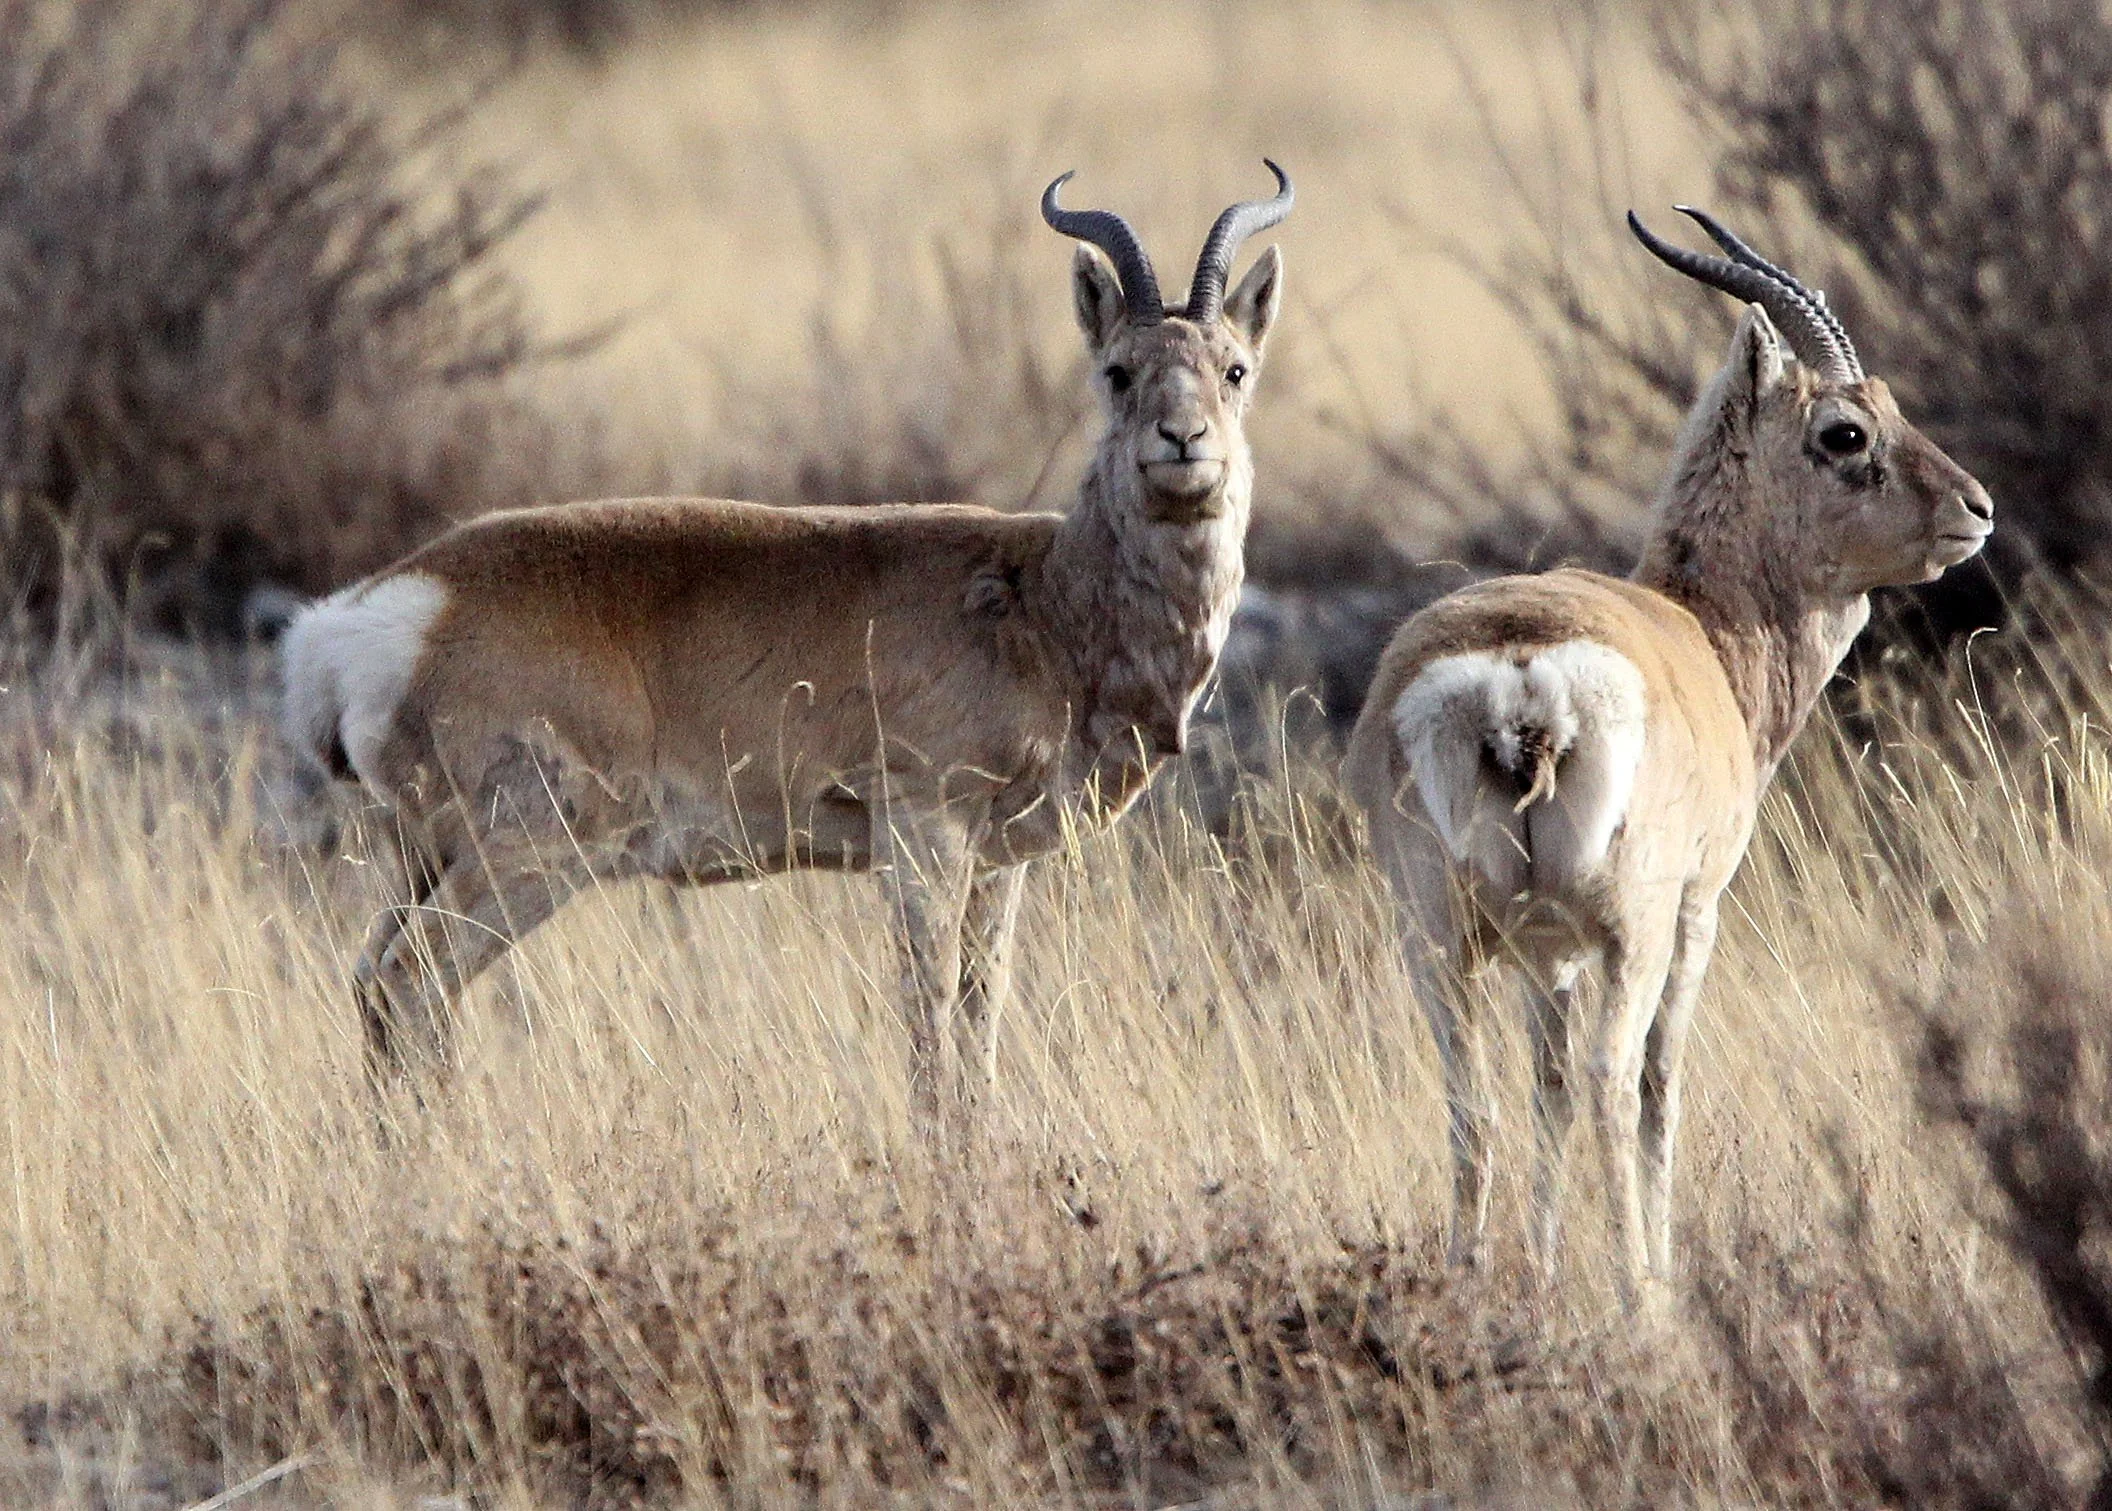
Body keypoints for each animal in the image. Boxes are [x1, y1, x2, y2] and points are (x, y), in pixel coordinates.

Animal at [282, 164, 1292, 1118]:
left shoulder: (997, 865)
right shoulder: (924, 833)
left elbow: (980, 1015)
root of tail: (374, 614)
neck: (1039, 594)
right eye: (1118, 368)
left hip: (428, 857)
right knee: (411, 983)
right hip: (531, 854)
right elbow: (928, 1014)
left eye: (1235, 367)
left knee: (374, 984)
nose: (1183, 441)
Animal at [1343, 209, 1993, 1306]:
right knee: (1617, 1078)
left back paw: (1470, 1283)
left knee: (1475, 1098)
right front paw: (1656, 1274)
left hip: (1433, 935)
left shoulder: (1546, 951)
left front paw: (1545, 1269)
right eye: (1844, 431)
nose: (1976, 508)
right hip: (1629, 929)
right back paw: (1641, 1298)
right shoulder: (1695, 912)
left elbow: (1546, 1087)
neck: (1701, 630)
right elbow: (1657, 1083)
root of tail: (1519, 670)